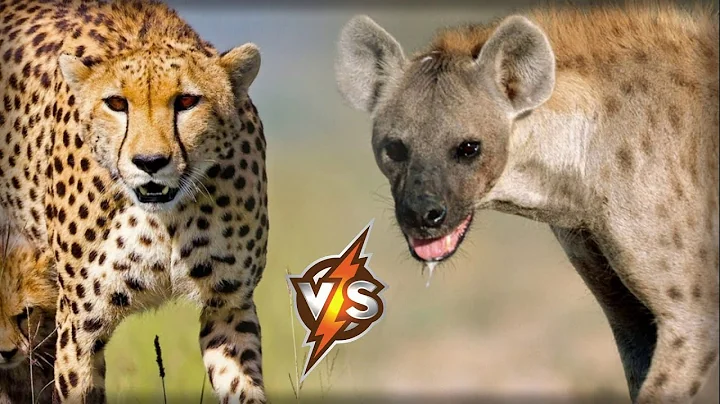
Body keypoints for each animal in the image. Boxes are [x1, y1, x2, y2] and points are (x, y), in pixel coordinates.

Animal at [0, 1, 269, 403]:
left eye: (187, 101)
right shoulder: (79, 325)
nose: (150, 162)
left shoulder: (228, 305)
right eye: (116, 103)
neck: (166, 220)